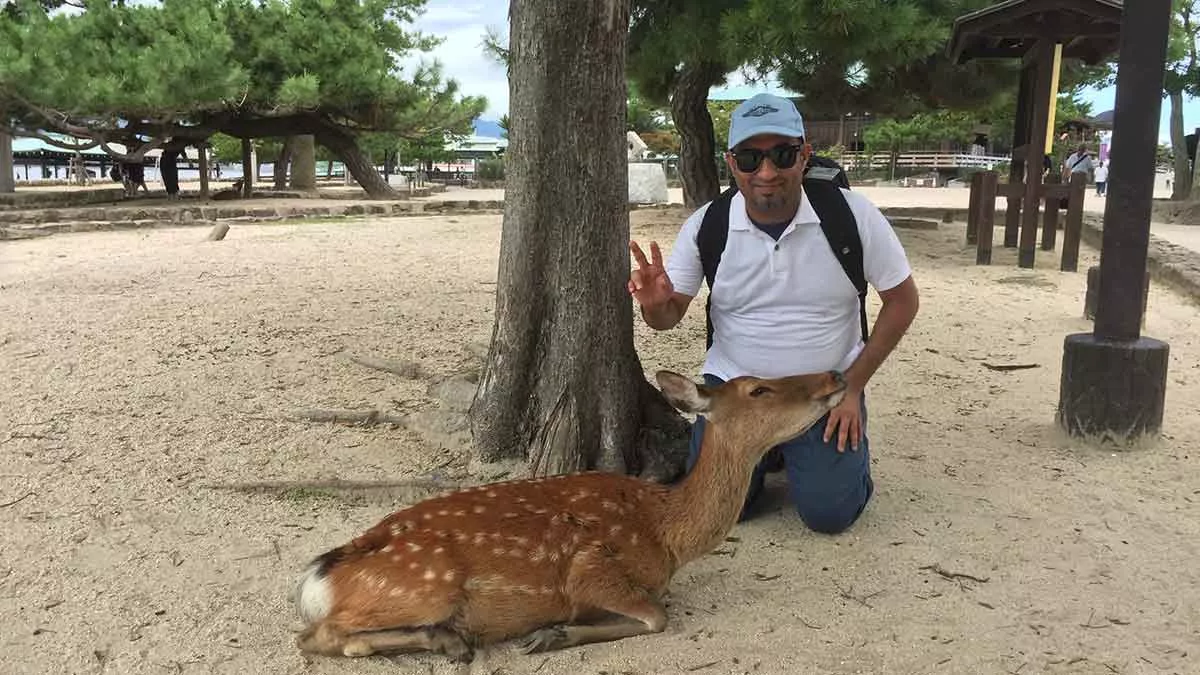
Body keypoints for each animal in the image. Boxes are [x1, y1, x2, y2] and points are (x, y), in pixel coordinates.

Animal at [292, 368, 847, 662]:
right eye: (758, 389)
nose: (833, 376)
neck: (665, 534)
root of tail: (319, 577)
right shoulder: (590, 568)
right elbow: (656, 616)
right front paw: (552, 633)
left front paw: (553, 633)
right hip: (424, 585)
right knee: (319, 636)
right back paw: (452, 640)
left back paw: (450, 639)